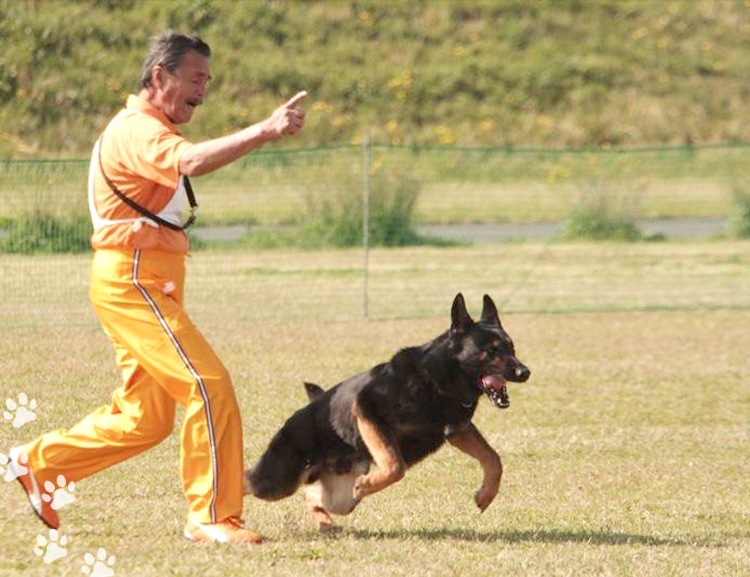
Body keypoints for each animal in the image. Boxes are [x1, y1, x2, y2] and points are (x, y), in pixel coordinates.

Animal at [244, 292, 532, 532]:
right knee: (248, 479)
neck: (438, 379)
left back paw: (326, 523)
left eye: (512, 347)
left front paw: (486, 495)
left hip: (341, 497)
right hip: (277, 480)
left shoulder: (457, 430)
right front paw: (368, 484)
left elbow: (493, 459)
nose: (525, 372)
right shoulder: (367, 409)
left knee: (311, 494)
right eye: (491, 350)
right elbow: (395, 466)